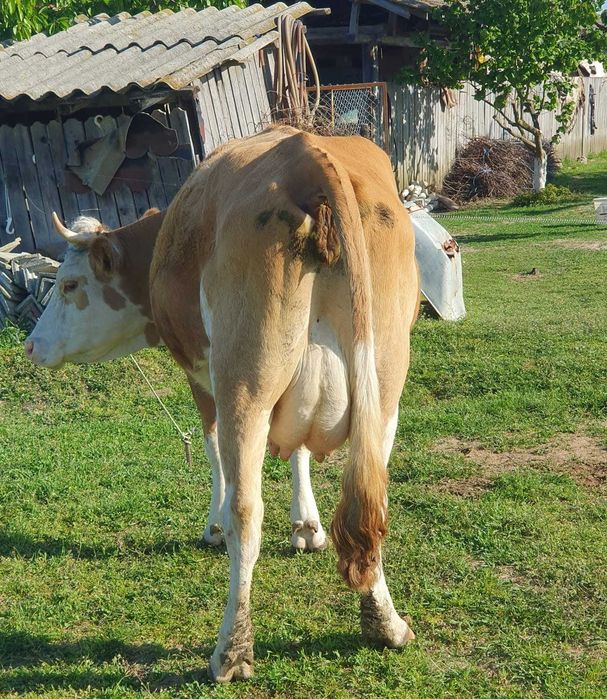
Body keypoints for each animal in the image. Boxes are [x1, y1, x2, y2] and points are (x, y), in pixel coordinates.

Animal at [26, 125, 419, 682]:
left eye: (69, 284)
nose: (30, 346)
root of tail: (309, 154)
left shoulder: (202, 378)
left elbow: (212, 453)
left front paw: (212, 526)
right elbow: (300, 452)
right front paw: (307, 526)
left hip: (244, 383)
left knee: (246, 510)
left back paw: (231, 650)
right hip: (383, 388)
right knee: (371, 500)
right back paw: (385, 623)